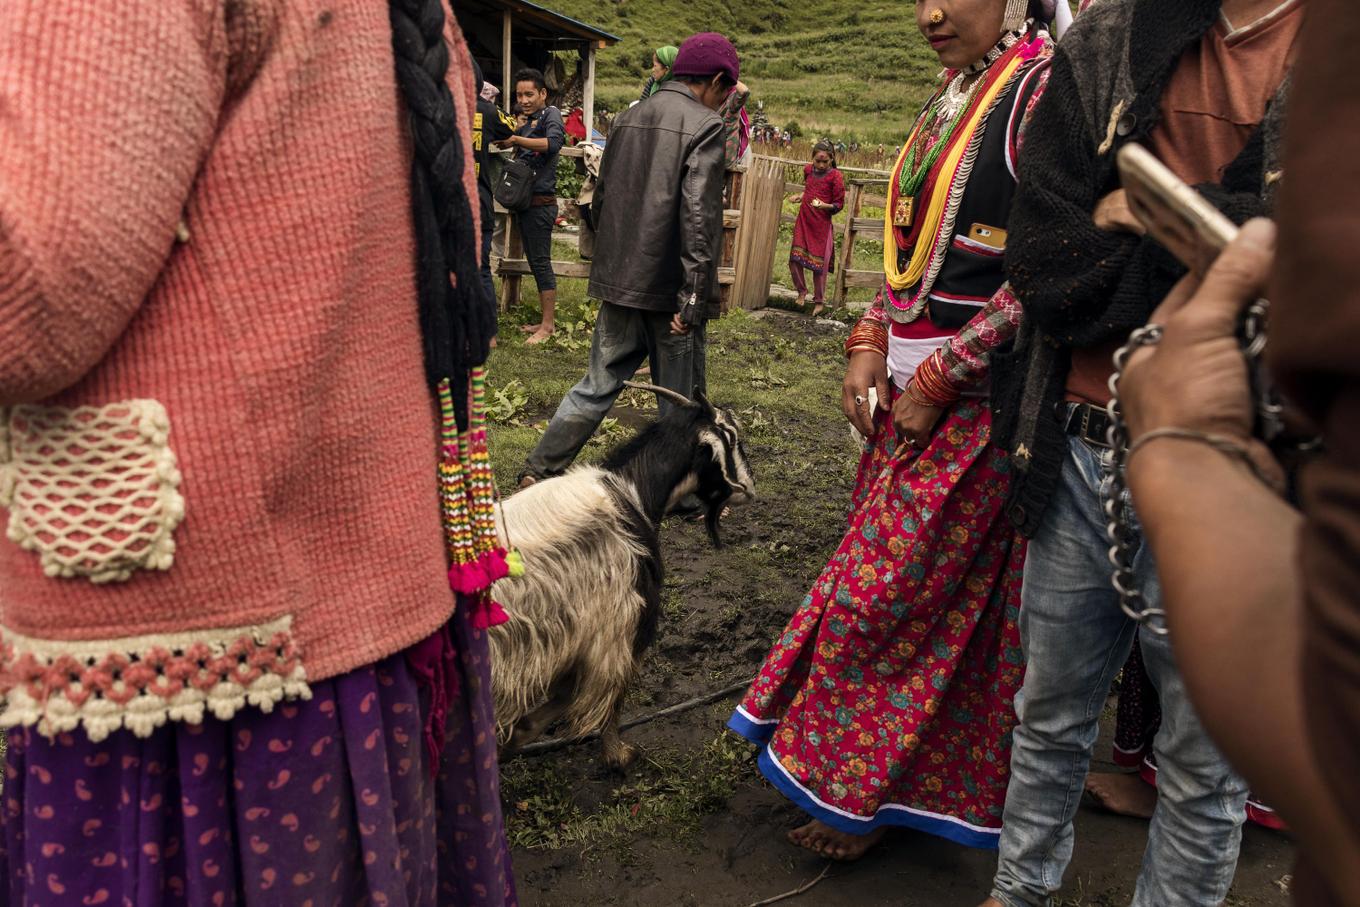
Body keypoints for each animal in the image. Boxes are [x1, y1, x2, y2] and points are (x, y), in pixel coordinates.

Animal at [489, 386, 756, 772]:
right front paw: (617, 755)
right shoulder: (622, 620)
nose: (750, 487)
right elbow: (605, 693)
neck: (632, 491)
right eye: (733, 435)